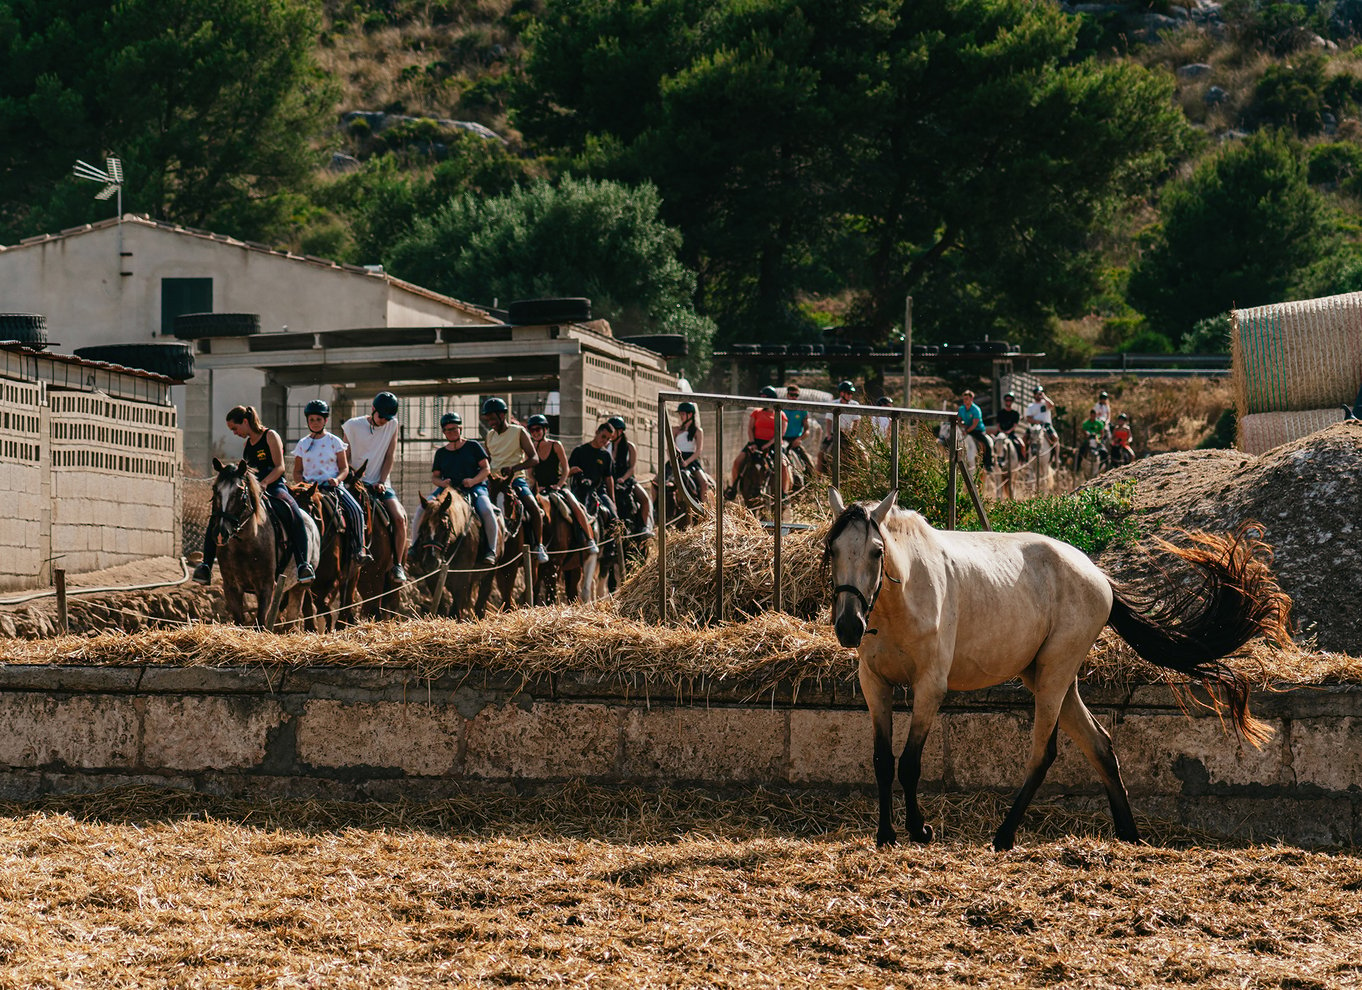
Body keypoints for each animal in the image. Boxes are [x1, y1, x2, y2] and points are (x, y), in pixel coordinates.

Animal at [211, 460, 317, 631]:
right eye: (215, 489)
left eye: (239, 493)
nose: (221, 533)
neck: (245, 543)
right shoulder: (231, 587)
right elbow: (239, 621)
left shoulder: (266, 587)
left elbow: (260, 622)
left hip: (299, 587)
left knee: (292, 615)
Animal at [822, 487, 1291, 849]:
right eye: (833, 550)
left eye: (876, 551)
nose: (848, 626)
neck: (902, 599)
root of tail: (1098, 576)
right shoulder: (875, 684)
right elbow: (882, 760)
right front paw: (885, 835)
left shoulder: (929, 688)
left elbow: (909, 762)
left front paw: (920, 830)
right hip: (1053, 679)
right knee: (1100, 743)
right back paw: (1128, 833)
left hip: (1053, 676)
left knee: (1043, 753)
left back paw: (1005, 835)